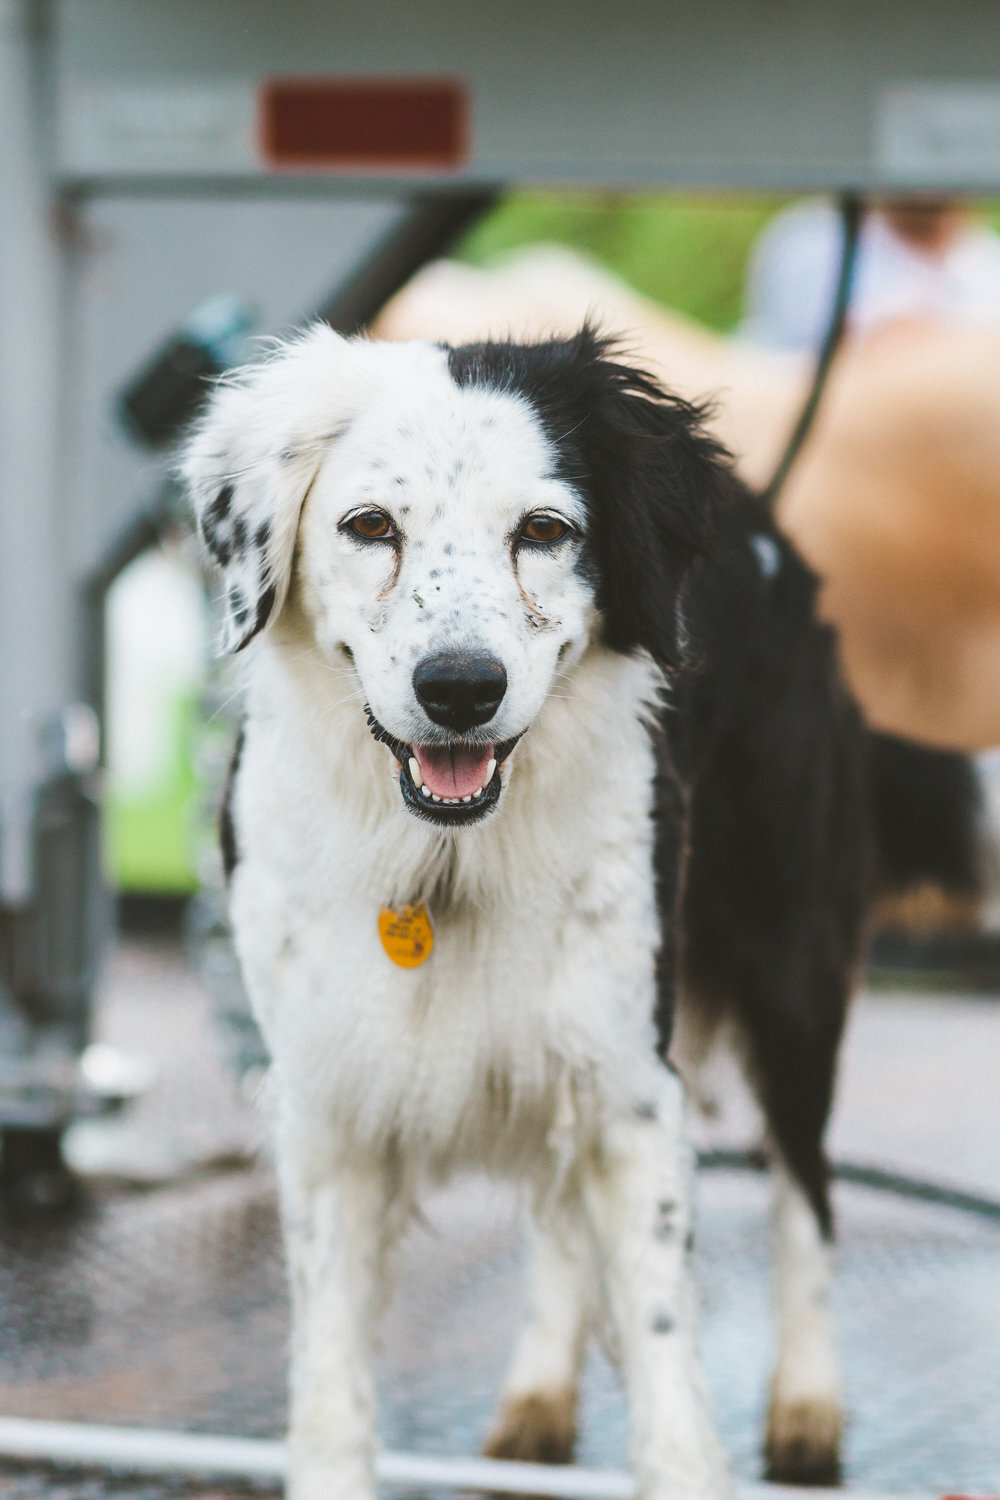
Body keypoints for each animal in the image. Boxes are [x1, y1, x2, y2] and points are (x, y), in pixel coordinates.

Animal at [183, 331, 971, 1500]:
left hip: (789, 972)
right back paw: (537, 1401)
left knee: (806, 1192)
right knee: (562, 1222)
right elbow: (329, 1376)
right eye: (370, 527)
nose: (460, 687)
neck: (446, 863)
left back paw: (806, 1407)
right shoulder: (329, 1103)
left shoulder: (635, 1086)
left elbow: (662, 1342)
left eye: (543, 532)